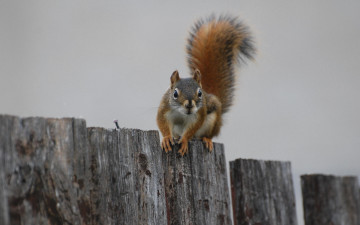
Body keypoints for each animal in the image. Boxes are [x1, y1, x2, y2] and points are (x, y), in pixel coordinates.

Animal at [156, 14, 255, 156]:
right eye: (174, 93)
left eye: (199, 93)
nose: (189, 104)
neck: (182, 113)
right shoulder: (164, 109)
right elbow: (162, 123)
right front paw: (166, 139)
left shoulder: (199, 115)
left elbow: (191, 130)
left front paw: (184, 141)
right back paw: (176, 137)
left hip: (213, 121)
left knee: (206, 135)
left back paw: (206, 139)